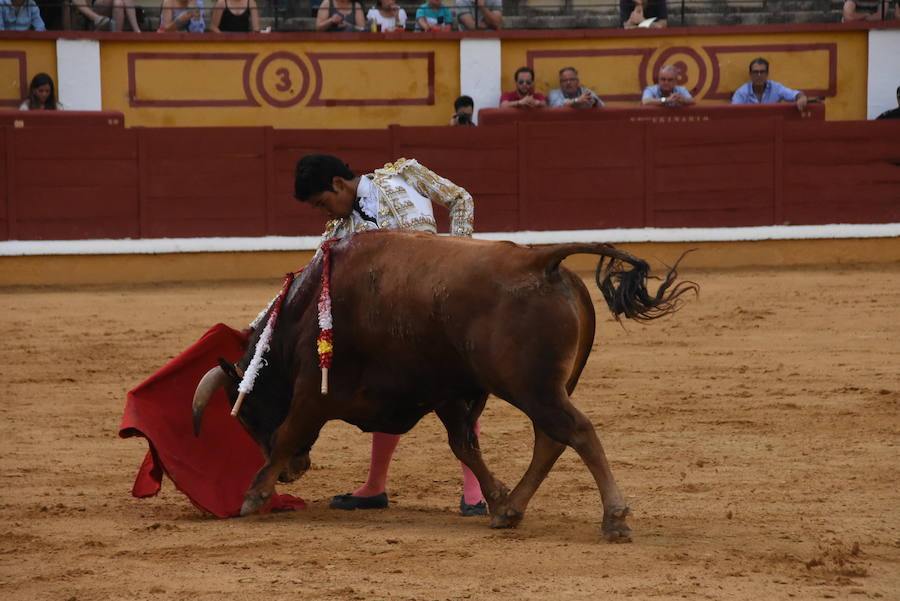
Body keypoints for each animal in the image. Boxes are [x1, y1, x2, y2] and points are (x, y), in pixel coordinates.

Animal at [193, 229, 696, 540]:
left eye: (248, 413)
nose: (294, 473)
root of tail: (541, 261)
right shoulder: (448, 393)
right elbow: (464, 446)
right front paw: (496, 499)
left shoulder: (315, 393)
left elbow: (286, 433)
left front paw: (253, 495)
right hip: (546, 388)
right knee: (551, 439)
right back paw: (513, 509)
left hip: (532, 387)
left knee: (577, 432)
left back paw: (614, 518)